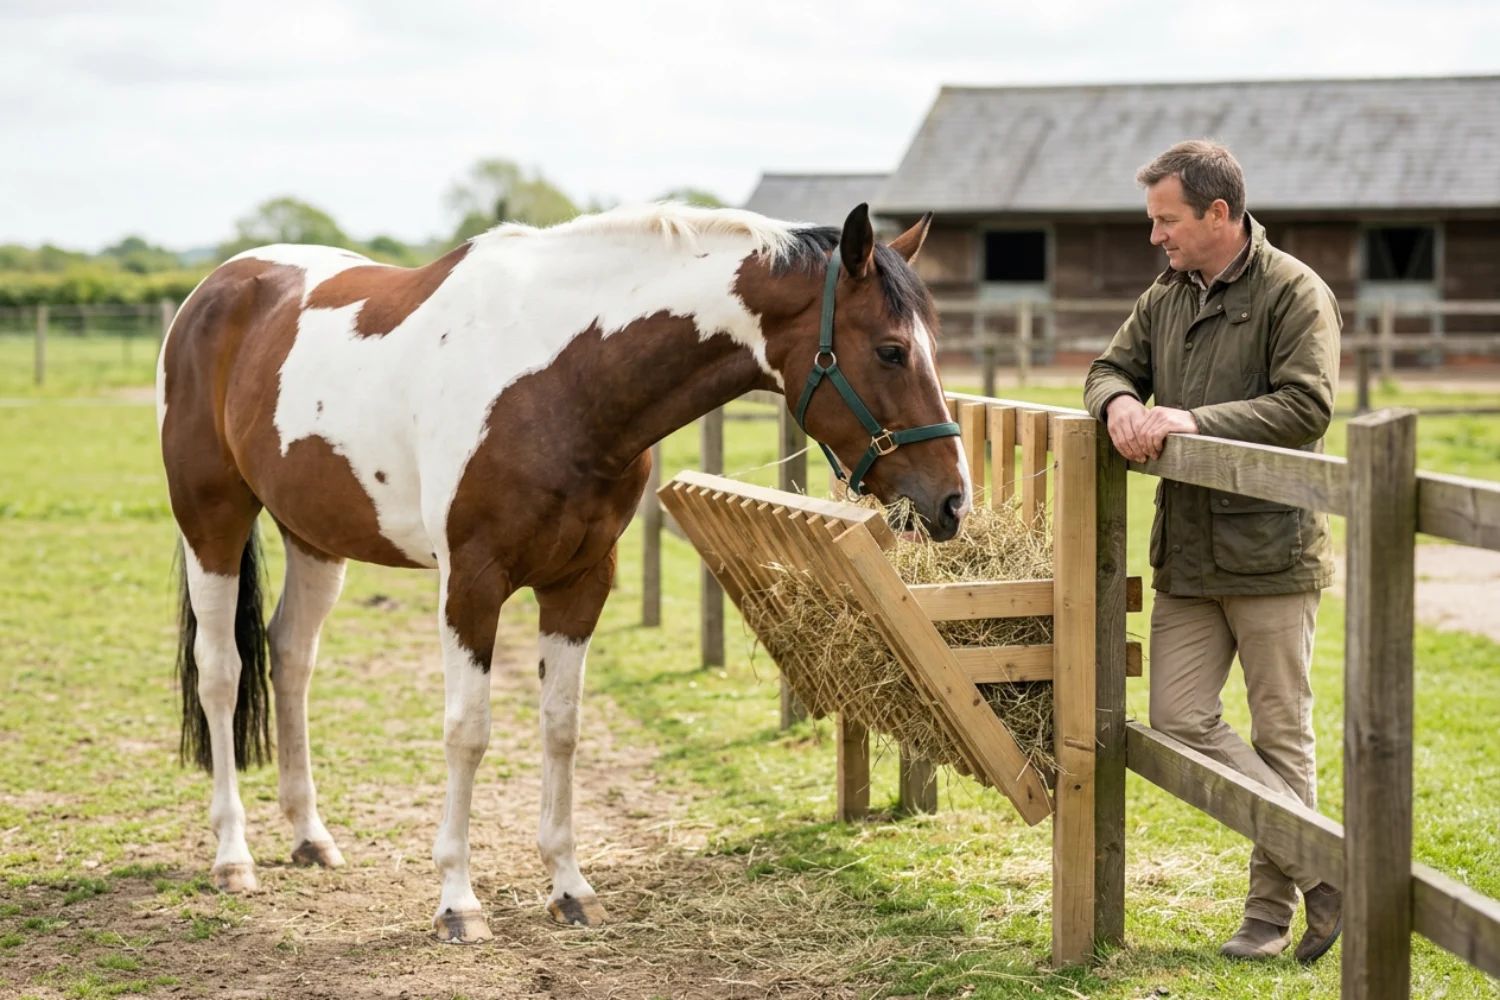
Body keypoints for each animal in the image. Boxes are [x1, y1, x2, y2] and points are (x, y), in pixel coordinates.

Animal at [156, 201, 968, 943]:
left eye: (936, 343)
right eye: (891, 351)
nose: (952, 501)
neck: (559, 379)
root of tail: (218, 288)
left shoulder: (580, 581)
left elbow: (562, 728)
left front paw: (570, 888)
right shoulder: (470, 582)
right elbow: (468, 732)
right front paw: (458, 902)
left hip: (314, 537)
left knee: (291, 658)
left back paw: (309, 837)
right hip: (213, 521)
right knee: (223, 671)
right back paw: (233, 857)